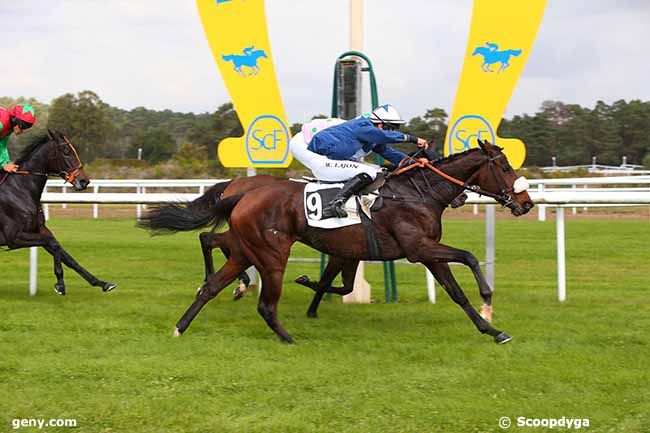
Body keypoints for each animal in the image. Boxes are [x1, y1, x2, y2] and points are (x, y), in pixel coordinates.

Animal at [0, 130, 116, 296]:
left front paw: (101, 282)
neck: (19, 189)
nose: (84, 181)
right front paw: (60, 284)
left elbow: (65, 255)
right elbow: (54, 245)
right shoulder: (14, 237)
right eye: (66, 152)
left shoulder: (39, 230)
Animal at [139, 140, 528, 342]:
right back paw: (285, 335)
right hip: (270, 253)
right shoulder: (418, 249)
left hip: (245, 250)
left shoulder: (419, 253)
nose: (526, 203)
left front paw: (492, 329)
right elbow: (470, 256)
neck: (416, 194)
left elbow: (456, 292)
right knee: (260, 299)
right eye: (505, 167)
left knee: (211, 277)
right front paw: (488, 300)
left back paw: (181, 326)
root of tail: (241, 193)